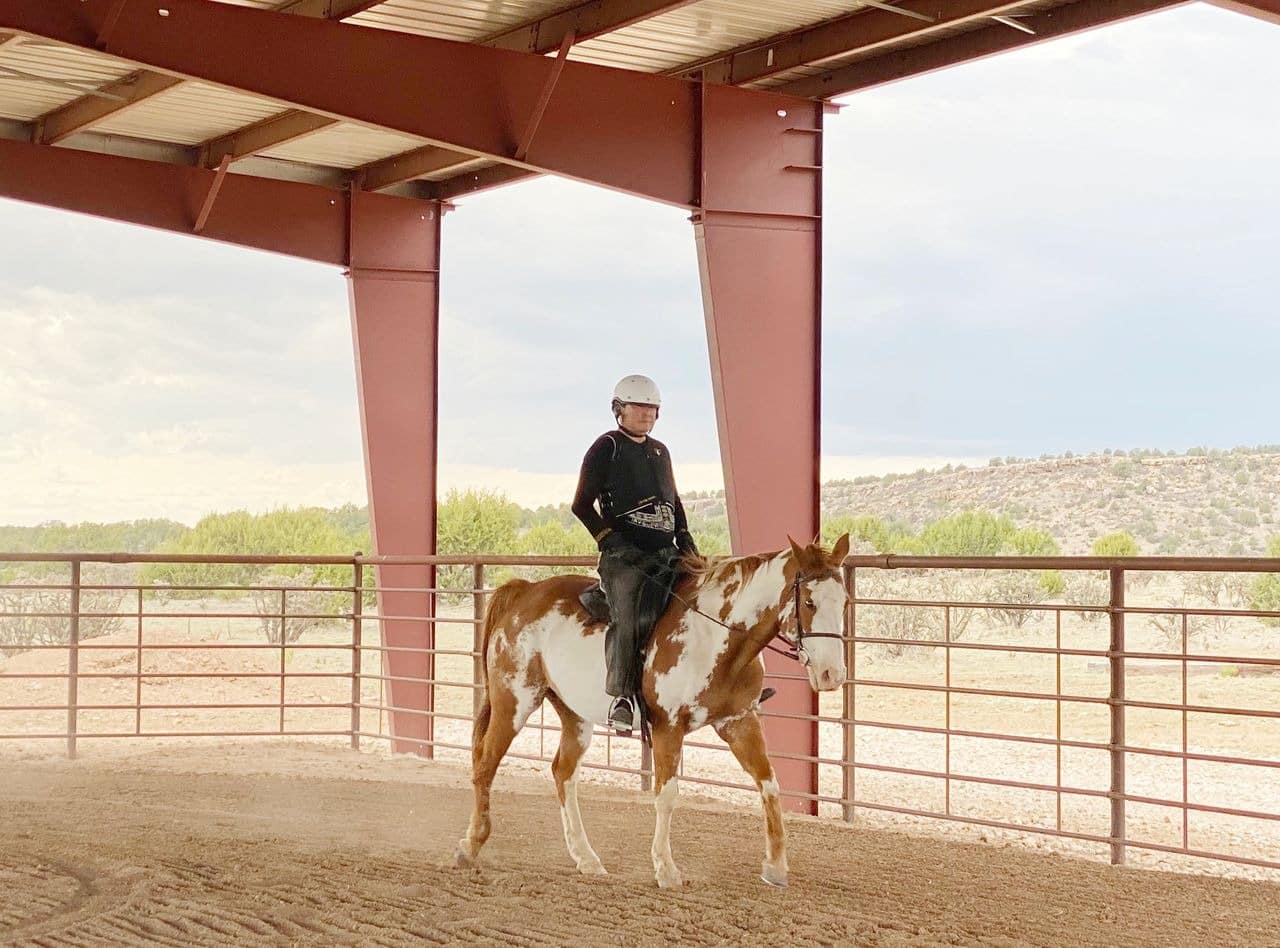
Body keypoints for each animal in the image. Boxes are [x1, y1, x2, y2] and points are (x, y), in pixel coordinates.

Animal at [453, 532, 849, 885]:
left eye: (844, 601)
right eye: (809, 602)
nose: (832, 674)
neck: (714, 636)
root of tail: (524, 591)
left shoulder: (739, 721)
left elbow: (769, 784)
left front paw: (776, 866)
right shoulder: (668, 727)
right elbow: (667, 794)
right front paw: (666, 869)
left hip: (573, 714)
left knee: (562, 772)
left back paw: (587, 858)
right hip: (513, 701)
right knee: (485, 764)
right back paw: (470, 846)